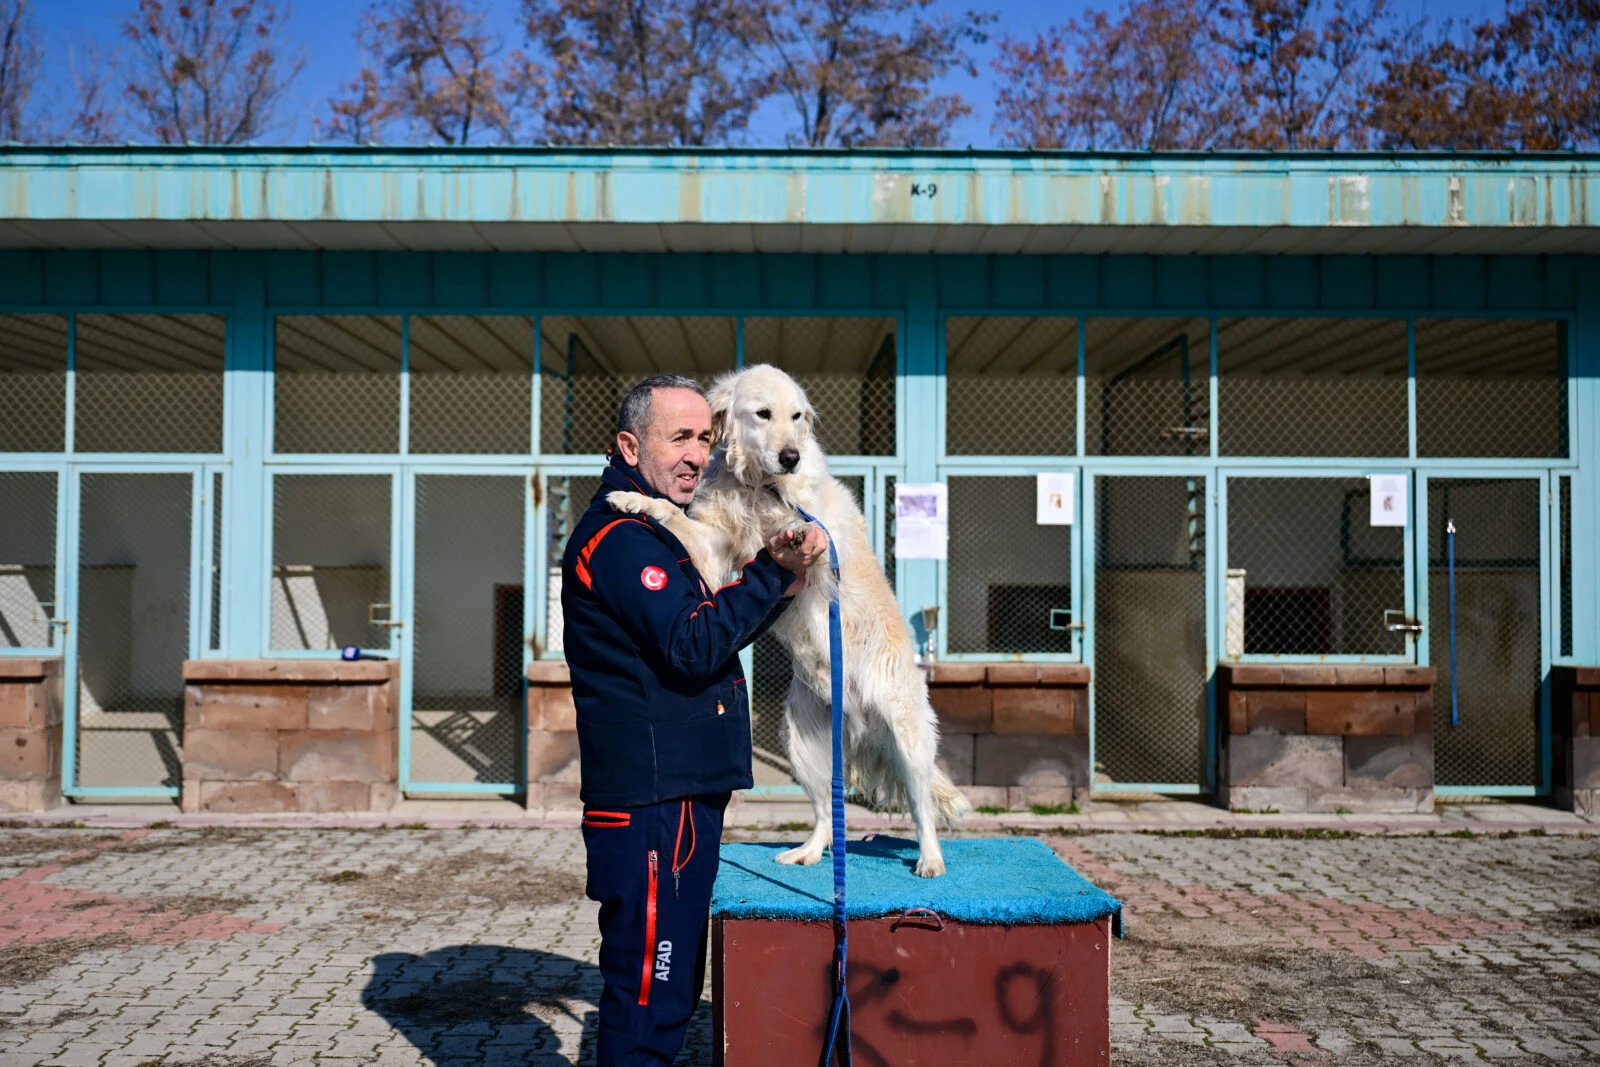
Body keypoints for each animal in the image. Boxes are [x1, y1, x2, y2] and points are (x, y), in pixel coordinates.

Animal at [604, 363, 966, 883]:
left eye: (796, 416)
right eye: (762, 414)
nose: (791, 456)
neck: (760, 486)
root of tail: (859, 725)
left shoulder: (821, 544)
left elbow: (804, 530)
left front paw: (792, 529)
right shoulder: (712, 549)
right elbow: (673, 511)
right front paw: (631, 498)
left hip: (908, 738)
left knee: (922, 808)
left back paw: (931, 859)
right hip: (801, 744)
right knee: (825, 815)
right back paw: (807, 853)